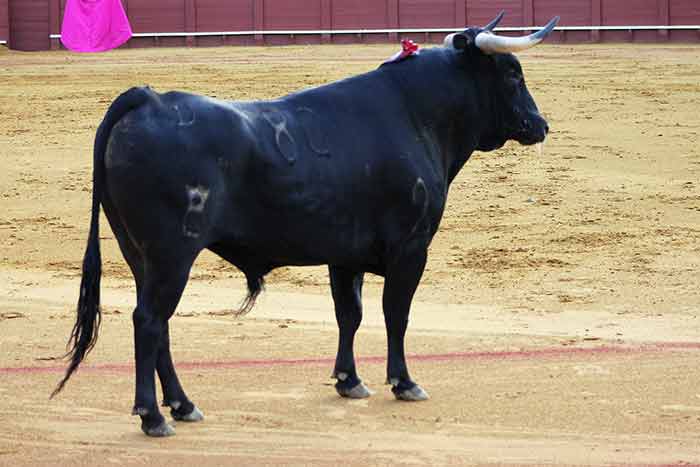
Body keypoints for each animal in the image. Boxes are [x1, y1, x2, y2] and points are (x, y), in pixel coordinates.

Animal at [53, 22, 556, 438]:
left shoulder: (345, 254)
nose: (541, 124)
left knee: (159, 325)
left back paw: (182, 405)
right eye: (512, 75)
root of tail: (148, 97)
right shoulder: (412, 248)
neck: (417, 116)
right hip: (171, 255)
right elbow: (396, 314)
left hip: (139, 255)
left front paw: (349, 381)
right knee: (149, 322)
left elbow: (349, 314)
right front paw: (403, 381)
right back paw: (154, 416)